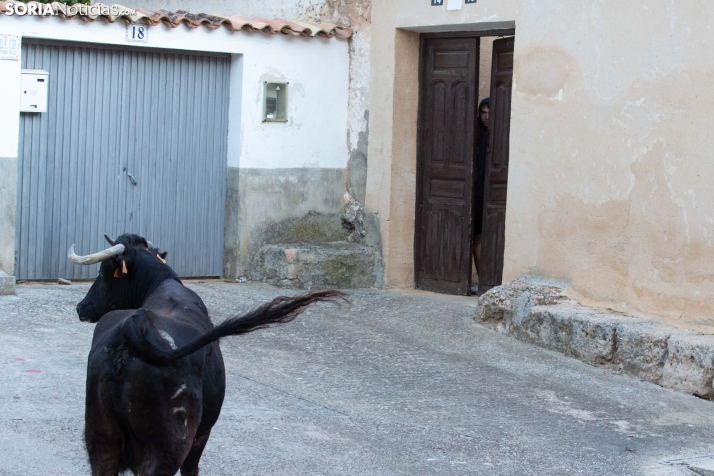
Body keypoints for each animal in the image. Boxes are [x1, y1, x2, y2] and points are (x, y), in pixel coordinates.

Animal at [70, 235, 344, 476]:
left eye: (102, 273)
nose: (81, 308)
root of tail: (132, 327)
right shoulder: (202, 434)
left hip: (101, 440)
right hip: (171, 444)